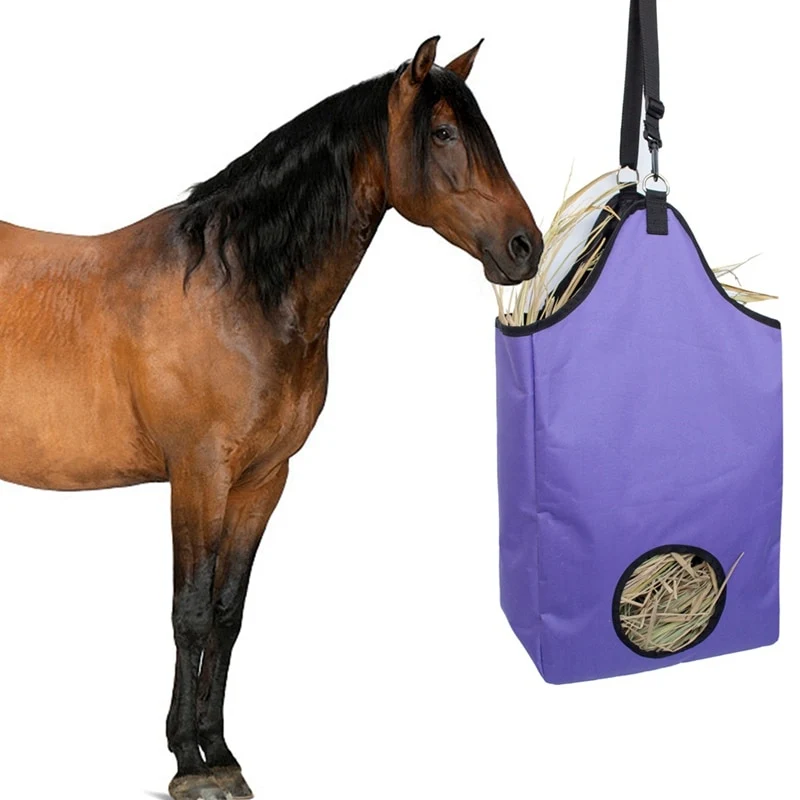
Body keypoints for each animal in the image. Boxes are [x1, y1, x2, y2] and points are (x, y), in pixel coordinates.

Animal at [0, 36, 541, 800]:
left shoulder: (263, 480)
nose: (526, 247)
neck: (238, 290)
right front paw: (186, 763)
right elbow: (191, 612)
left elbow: (228, 615)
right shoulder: (197, 477)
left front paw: (220, 751)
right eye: (442, 133)